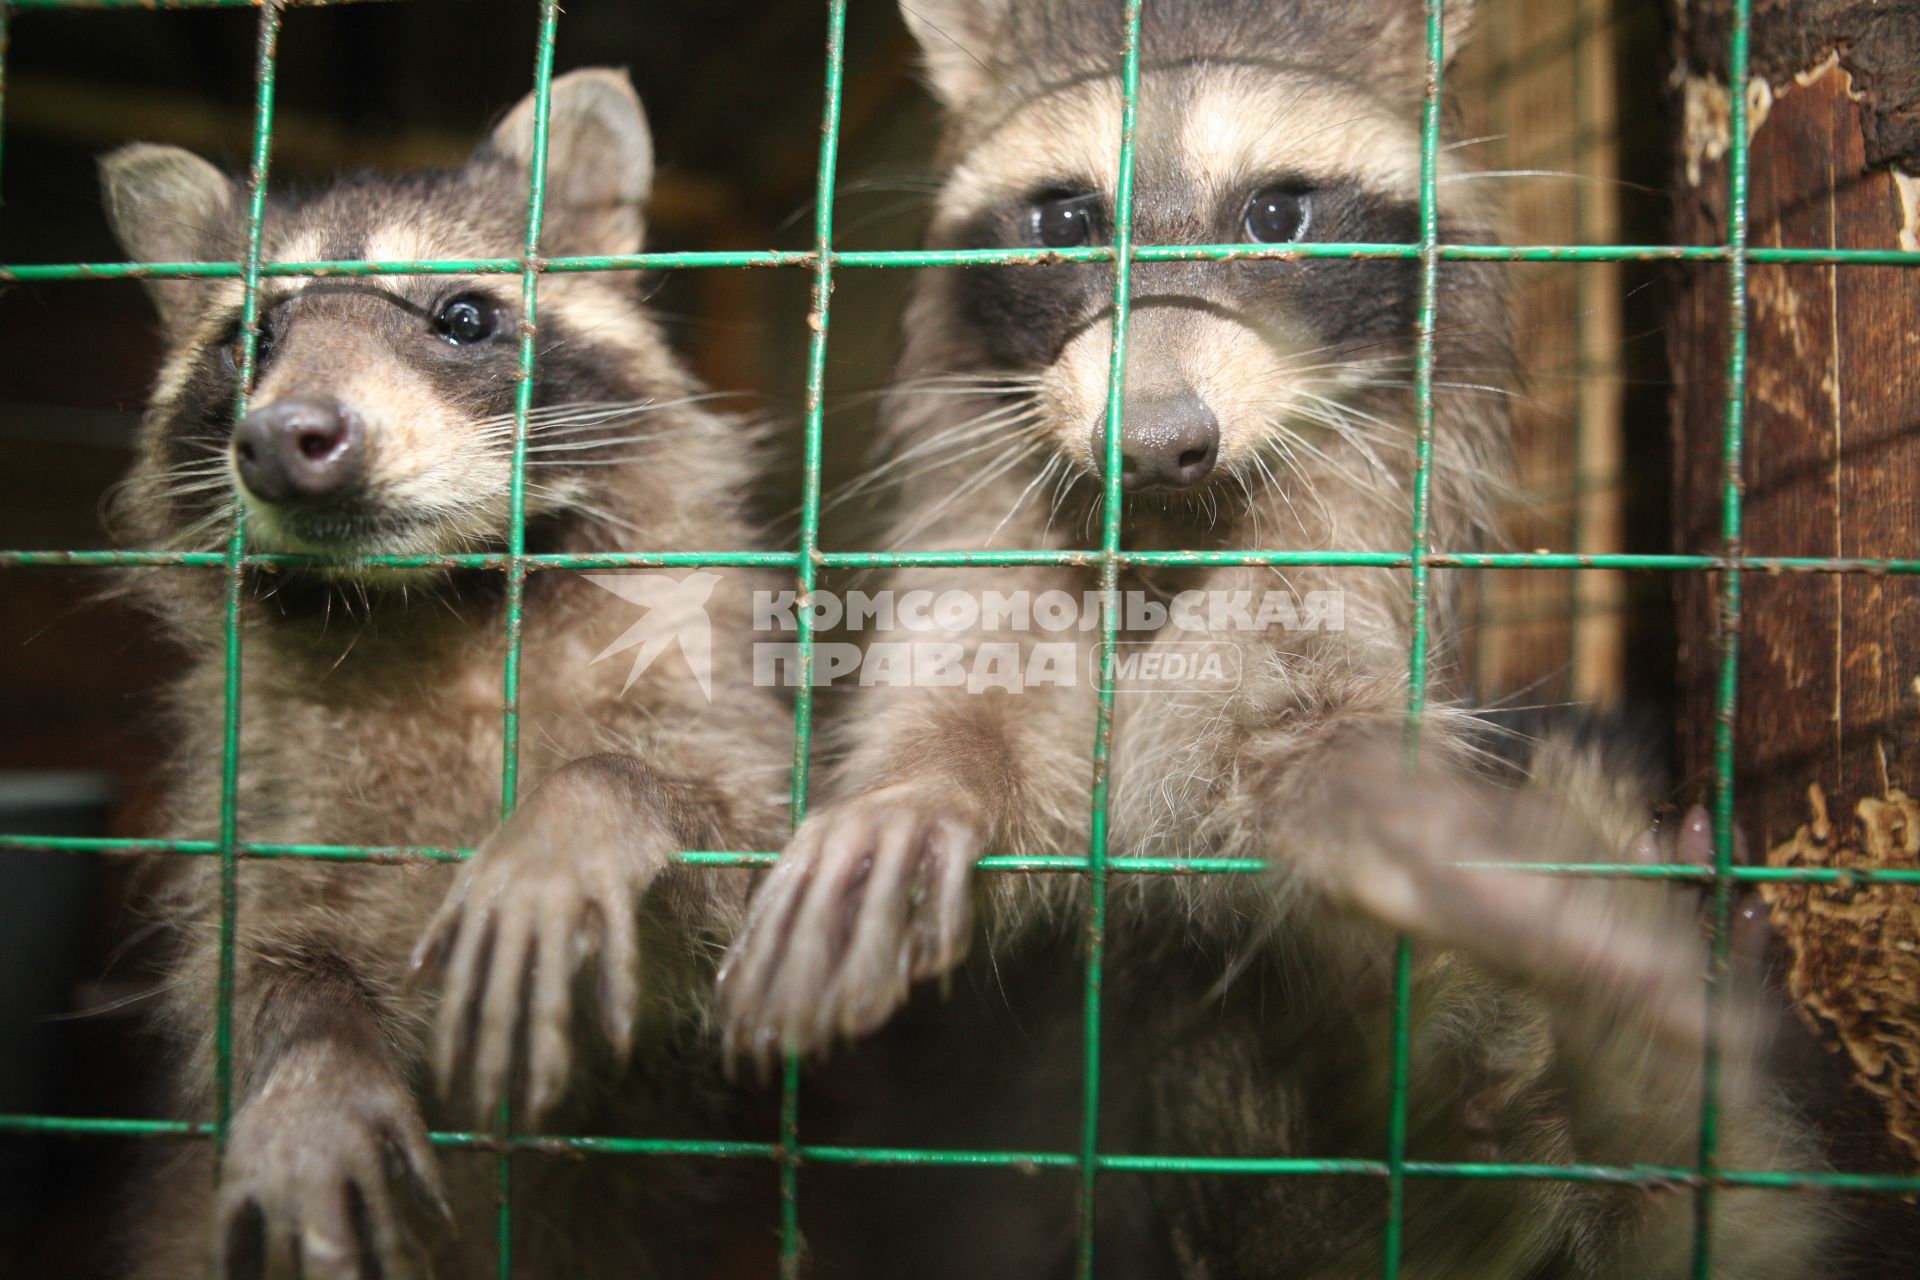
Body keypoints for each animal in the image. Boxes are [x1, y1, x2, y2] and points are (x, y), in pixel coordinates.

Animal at [95, 72, 787, 1280]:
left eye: (462, 317)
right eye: (252, 335)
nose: (283, 438)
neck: (436, 601)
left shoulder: (700, 681)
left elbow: (731, 866)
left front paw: (582, 814)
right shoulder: (260, 770)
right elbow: (253, 951)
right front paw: (309, 1055)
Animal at [721, 5, 1843, 1274]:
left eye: (1276, 214)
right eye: (1066, 220)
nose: (1155, 440)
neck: (1171, 527)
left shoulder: (1357, 516)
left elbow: (1285, 728)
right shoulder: (990, 491)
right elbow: (979, 673)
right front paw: (926, 784)